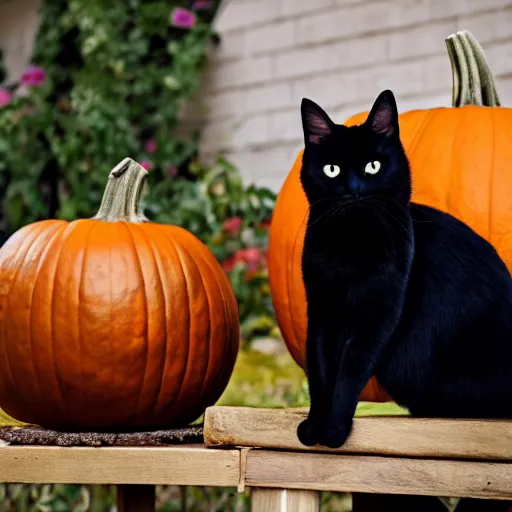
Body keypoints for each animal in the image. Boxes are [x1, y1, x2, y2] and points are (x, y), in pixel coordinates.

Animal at [298, 90, 512, 450]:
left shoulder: (380, 315)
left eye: (373, 166)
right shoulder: (323, 313)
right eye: (332, 169)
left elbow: (351, 369)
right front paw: (315, 425)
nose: (354, 189)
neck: (351, 249)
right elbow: (322, 370)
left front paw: (334, 428)